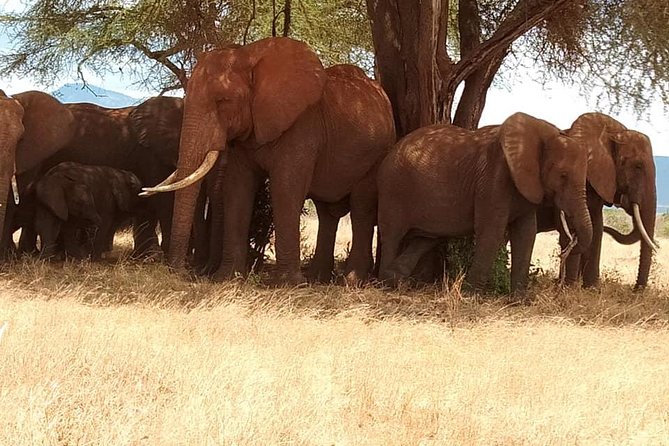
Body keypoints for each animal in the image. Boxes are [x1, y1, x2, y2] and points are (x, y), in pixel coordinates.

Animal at [143, 37, 396, 285]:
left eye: (223, 101)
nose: (181, 273)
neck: (250, 56)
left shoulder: (302, 125)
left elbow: (286, 186)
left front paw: (287, 284)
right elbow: (237, 187)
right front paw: (228, 278)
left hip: (377, 154)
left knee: (361, 208)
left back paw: (351, 280)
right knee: (327, 213)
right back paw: (318, 278)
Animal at [376, 112, 594, 293]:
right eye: (563, 175)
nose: (570, 243)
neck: (543, 131)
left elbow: (526, 234)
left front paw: (520, 301)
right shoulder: (493, 177)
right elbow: (492, 231)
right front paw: (470, 295)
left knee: (424, 239)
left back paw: (394, 279)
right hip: (392, 188)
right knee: (392, 235)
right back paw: (385, 285)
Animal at [536, 112, 657, 290]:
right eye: (638, 166)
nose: (635, 291)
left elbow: (597, 227)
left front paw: (591, 289)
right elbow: (573, 229)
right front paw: (568, 288)